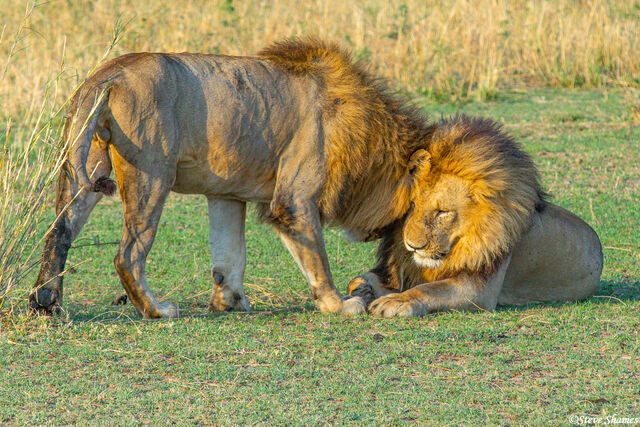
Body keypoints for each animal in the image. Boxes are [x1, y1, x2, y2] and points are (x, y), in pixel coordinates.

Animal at [30, 38, 438, 318]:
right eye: (417, 207)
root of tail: (108, 74)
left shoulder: (226, 194)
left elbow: (229, 255)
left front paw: (229, 301)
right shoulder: (293, 200)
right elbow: (317, 260)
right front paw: (339, 304)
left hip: (83, 167)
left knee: (58, 232)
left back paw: (46, 304)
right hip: (152, 174)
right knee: (128, 254)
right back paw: (157, 311)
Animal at [348, 116, 603, 317]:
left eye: (443, 212)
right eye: (411, 205)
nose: (412, 246)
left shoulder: (480, 289)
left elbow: (432, 289)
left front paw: (396, 301)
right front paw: (361, 289)